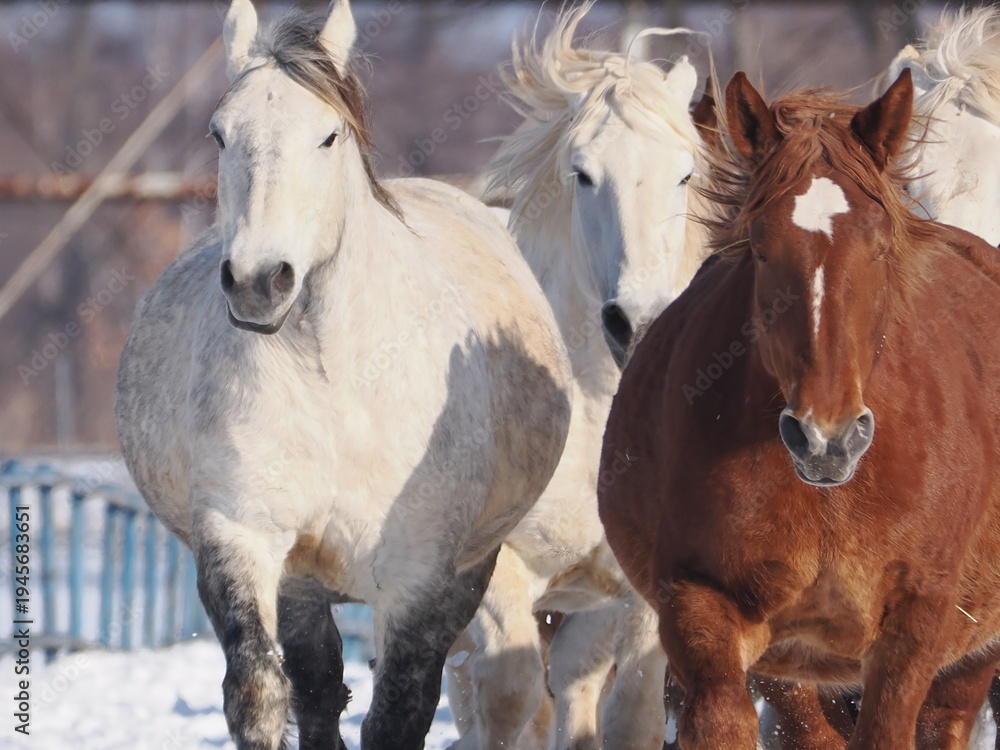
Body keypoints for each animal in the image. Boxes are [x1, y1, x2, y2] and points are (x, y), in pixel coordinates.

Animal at [114, 2, 572, 748]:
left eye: (328, 136)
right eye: (220, 133)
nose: (258, 282)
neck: (335, 383)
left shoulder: (422, 578)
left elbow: (397, 715)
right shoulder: (241, 536)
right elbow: (260, 691)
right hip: (303, 584)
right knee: (319, 688)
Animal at [443, 5, 709, 749]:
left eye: (685, 175)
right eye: (583, 174)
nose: (639, 322)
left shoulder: (632, 595)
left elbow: (627, 711)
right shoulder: (493, 574)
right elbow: (509, 701)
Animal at [598, 66, 1000, 750]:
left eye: (878, 243)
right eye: (761, 246)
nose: (825, 438)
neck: (830, 499)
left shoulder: (915, 627)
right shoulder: (700, 606)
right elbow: (724, 719)